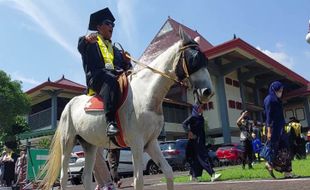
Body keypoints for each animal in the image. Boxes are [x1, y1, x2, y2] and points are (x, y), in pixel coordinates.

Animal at [40, 30, 213, 189]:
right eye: (193, 59)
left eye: (205, 60)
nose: (207, 92)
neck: (145, 94)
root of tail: (69, 105)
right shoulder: (136, 143)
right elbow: (138, 180)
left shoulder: (151, 143)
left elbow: (169, 172)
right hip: (67, 142)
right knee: (64, 177)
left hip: (90, 146)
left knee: (87, 177)